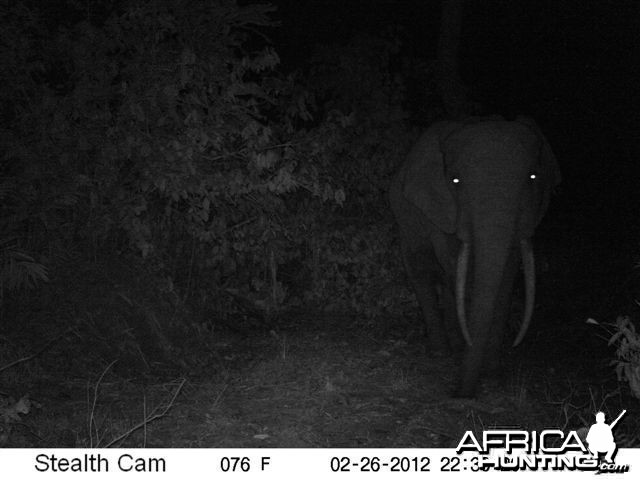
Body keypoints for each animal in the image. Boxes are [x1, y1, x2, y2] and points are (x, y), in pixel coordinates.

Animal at [384, 114, 560, 396]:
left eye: (533, 177)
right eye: (455, 181)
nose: (459, 394)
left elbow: (505, 278)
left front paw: (491, 379)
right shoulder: (440, 209)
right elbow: (459, 270)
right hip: (406, 220)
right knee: (422, 271)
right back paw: (442, 353)